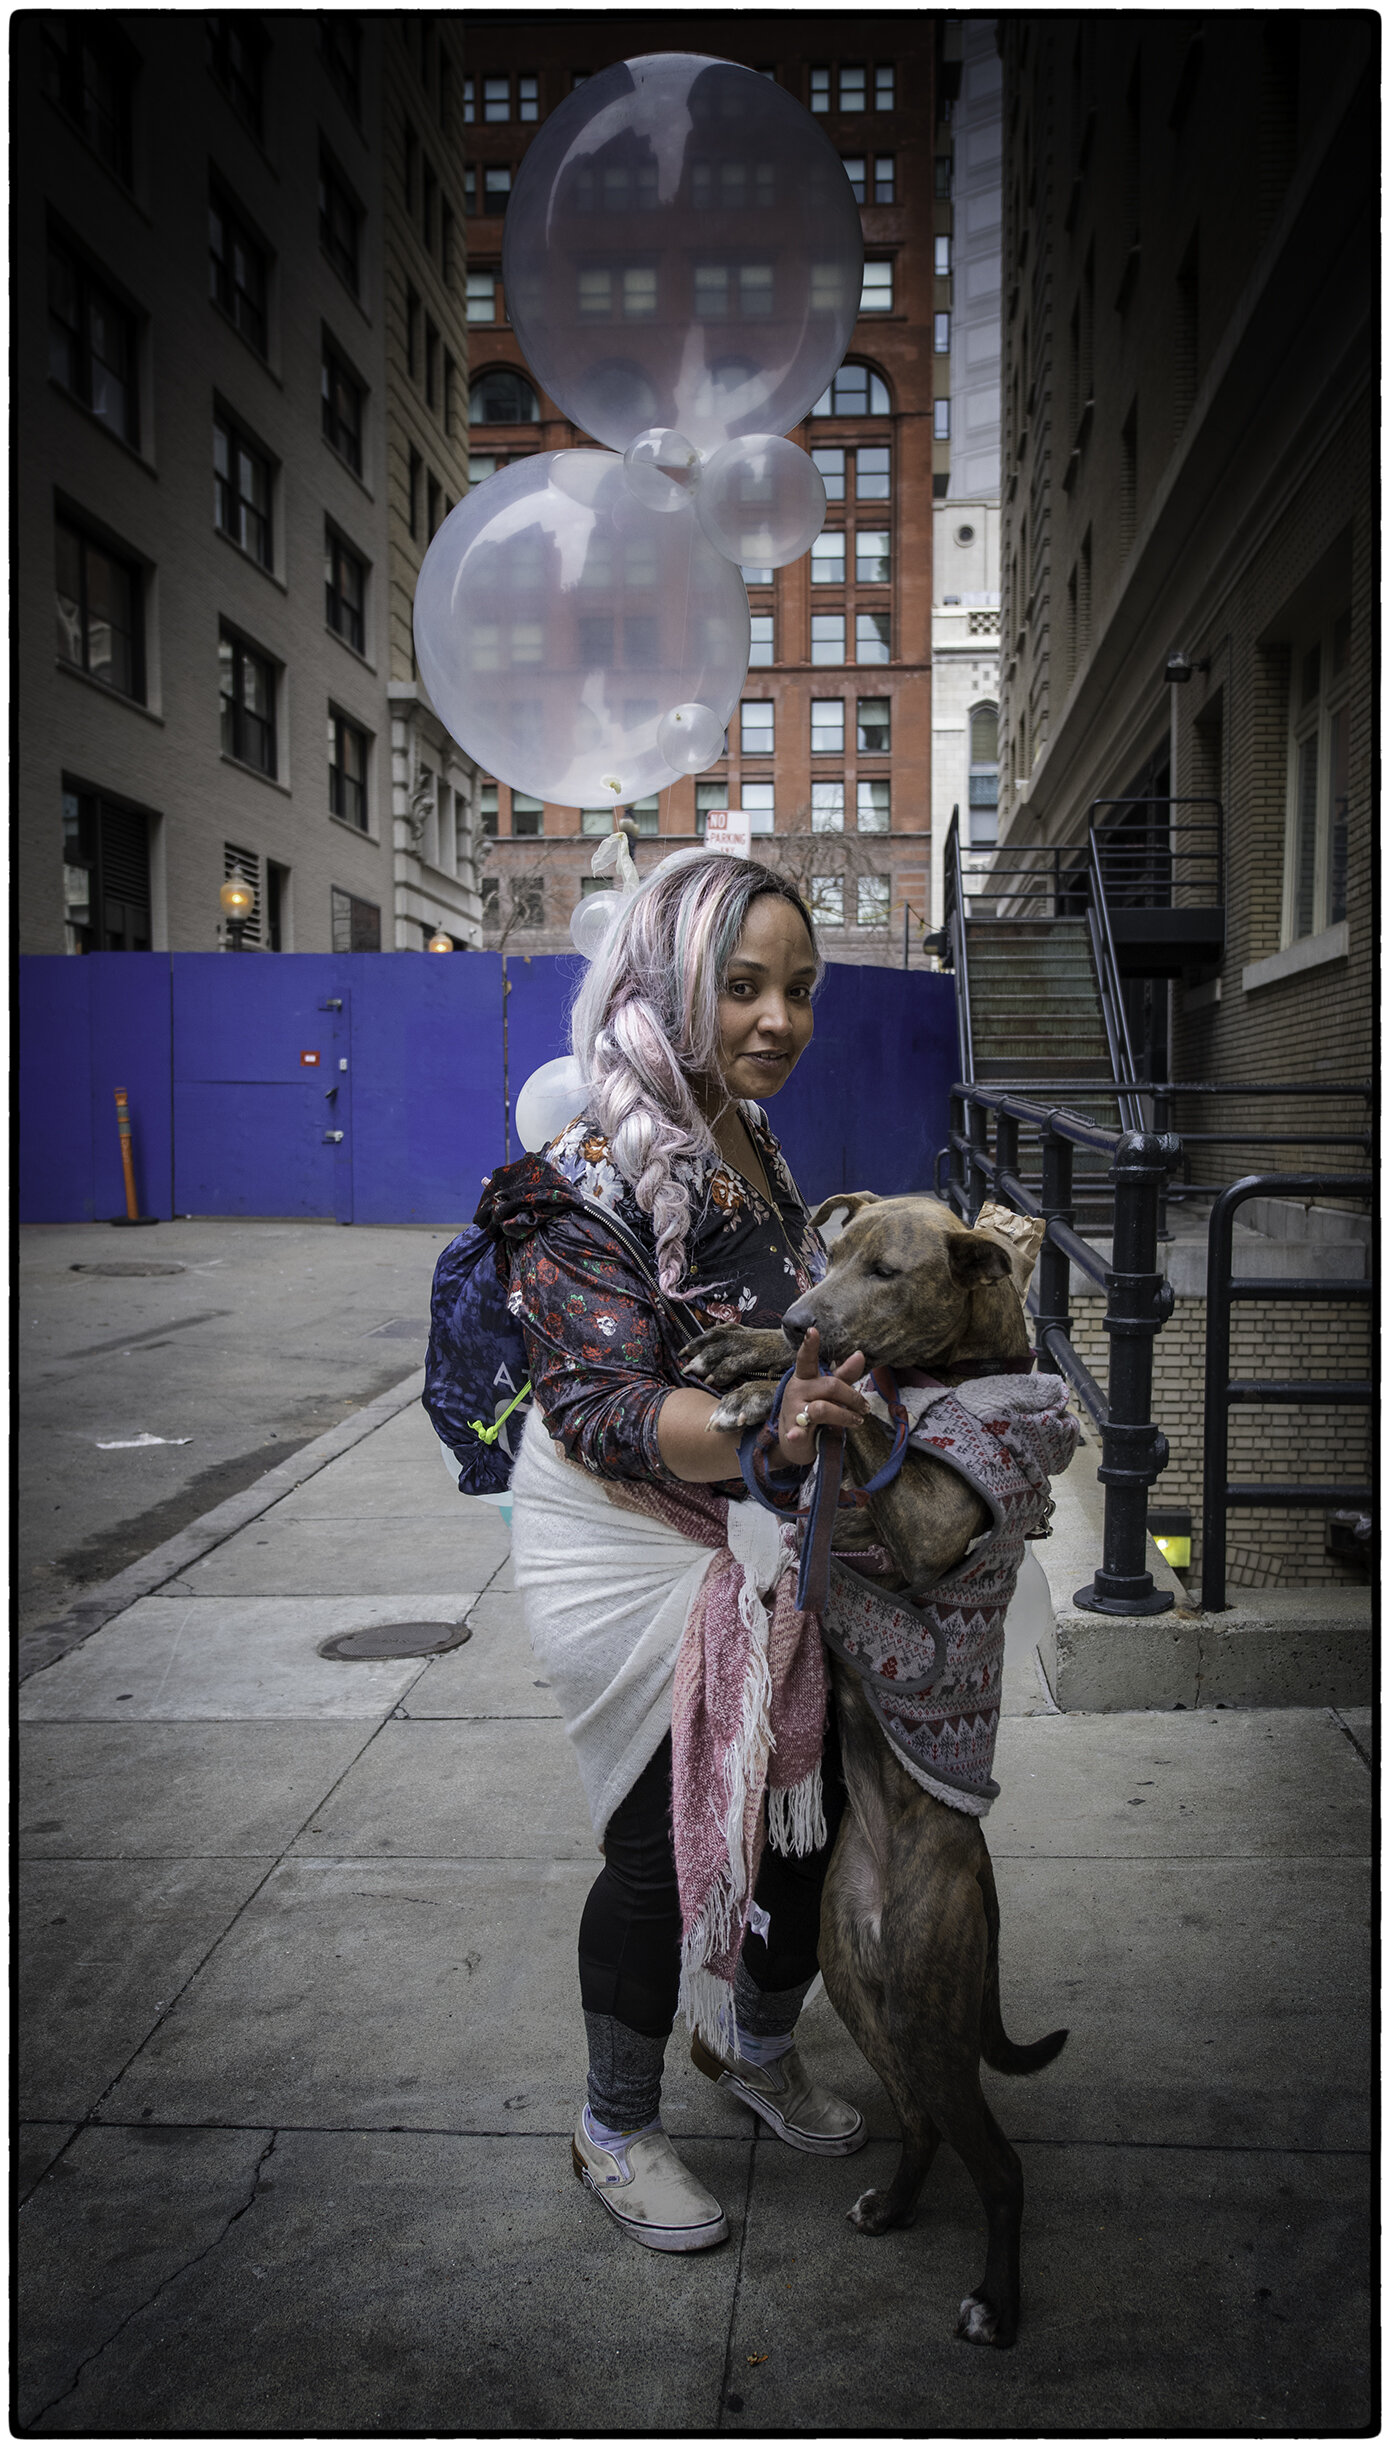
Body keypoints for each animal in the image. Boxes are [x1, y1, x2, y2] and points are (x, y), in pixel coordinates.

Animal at [680, 1194, 1062, 2340]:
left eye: (888, 1270)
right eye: (830, 1254)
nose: (801, 1312)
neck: (949, 1368)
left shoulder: (938, 1516)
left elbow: (870, 1411)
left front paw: (784, 1388)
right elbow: (852, 1384)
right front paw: (752, 1358)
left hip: (933, 2009)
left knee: (999, 2163)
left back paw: (994, 2302)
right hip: (861, 1981)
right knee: (923, 2125)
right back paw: (893, 2207)